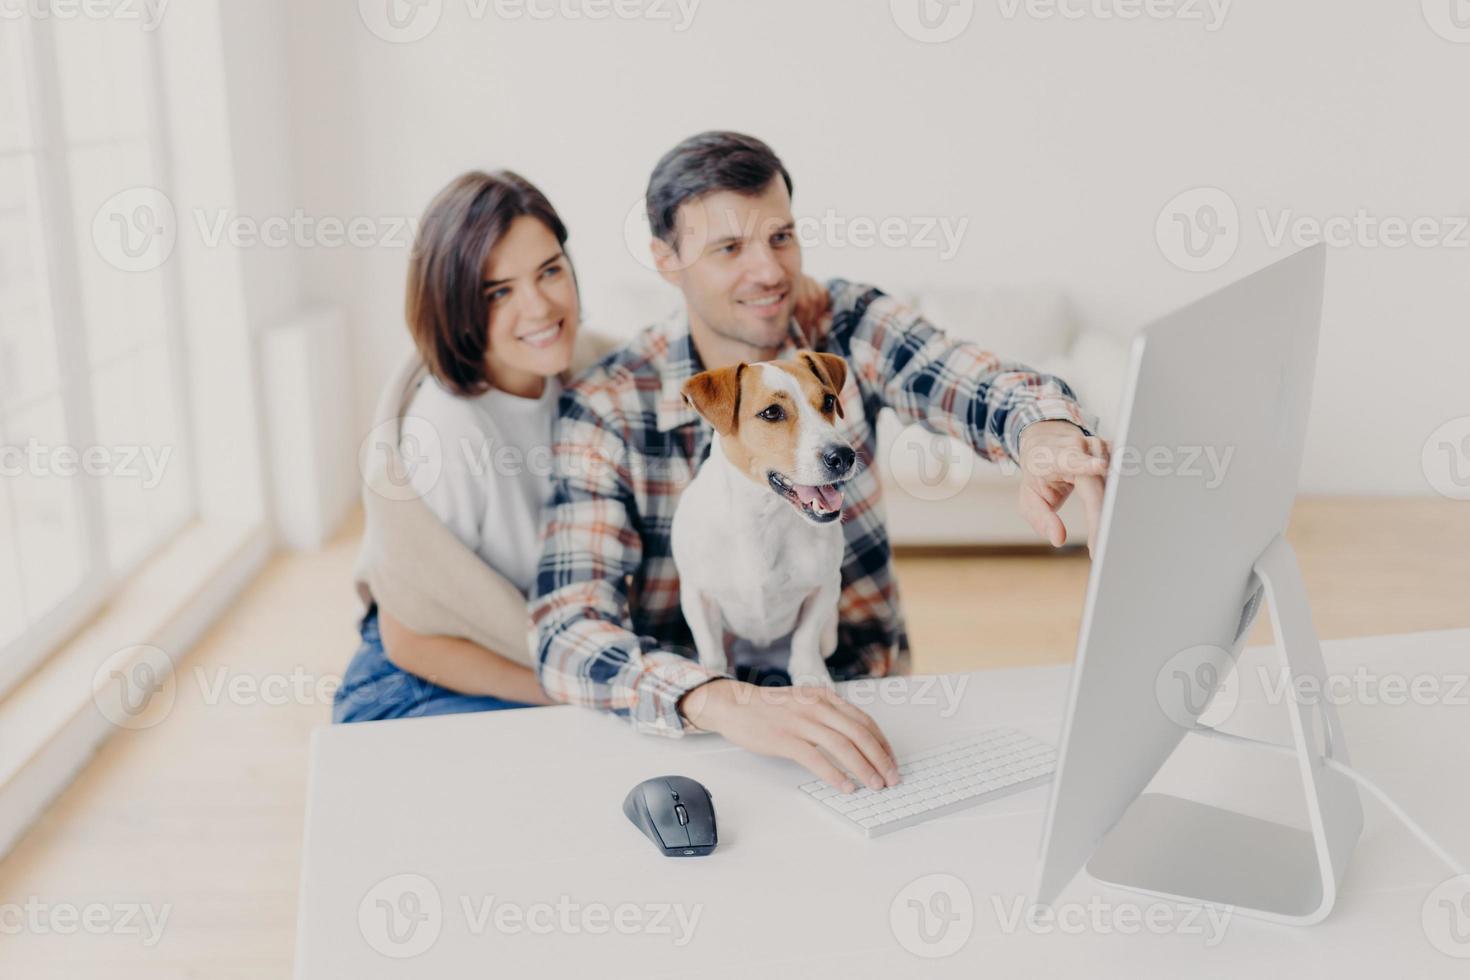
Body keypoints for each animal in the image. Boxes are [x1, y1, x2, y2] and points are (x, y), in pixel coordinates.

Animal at [673, 354, 858, 690]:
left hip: (831, 635)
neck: (764, 516)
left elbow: (805, 637)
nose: (843, 456)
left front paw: (810, 675)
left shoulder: (825, 588)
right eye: (772, 412)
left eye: (828, 401)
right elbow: (712, 650)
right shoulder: (697, 596)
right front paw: (716, 677)